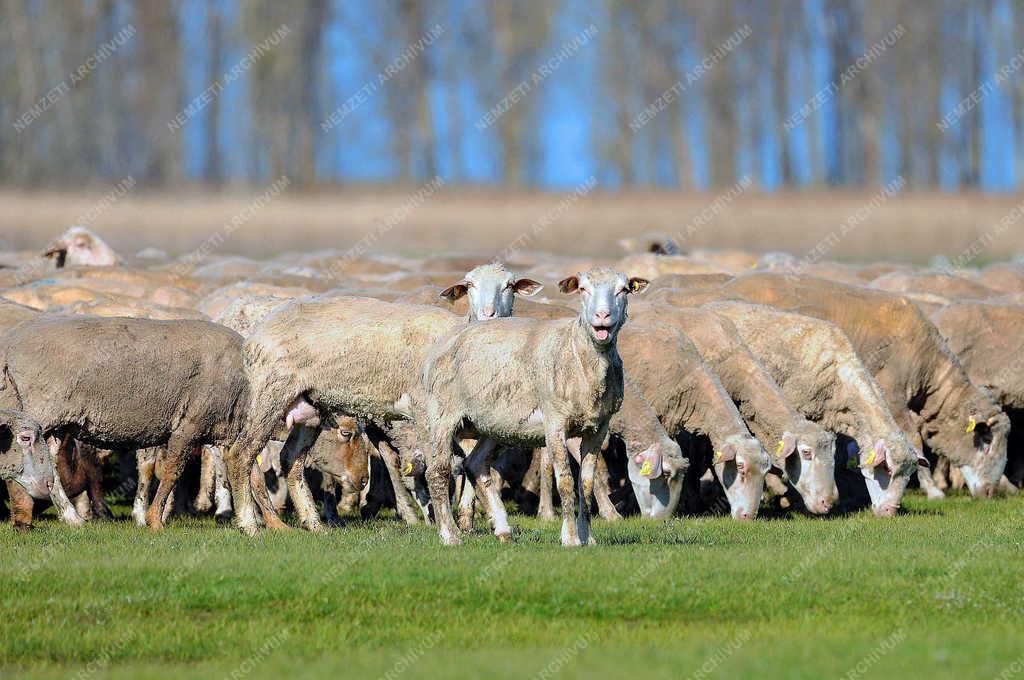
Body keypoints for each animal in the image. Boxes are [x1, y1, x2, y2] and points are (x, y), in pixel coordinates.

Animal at [0, 315, 247, 528]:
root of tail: (10, 344)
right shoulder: (197, 422)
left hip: (54, 419)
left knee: (48, 461)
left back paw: (69, 517)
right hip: (42, 408)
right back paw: (30, 517)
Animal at [417, 266, 643, 548]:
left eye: (624, 290)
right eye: (582, 288)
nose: (603, 316)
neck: (577, 353)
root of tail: (447, 339)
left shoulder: (598, 427)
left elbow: (586, 483)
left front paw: (588, 537)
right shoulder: (555, 423)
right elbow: (566, 481)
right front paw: (570, 538)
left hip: (493, 424)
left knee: (475, 464)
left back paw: (503, 529)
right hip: (442, 414)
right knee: (437, 472)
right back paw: (450, 535)